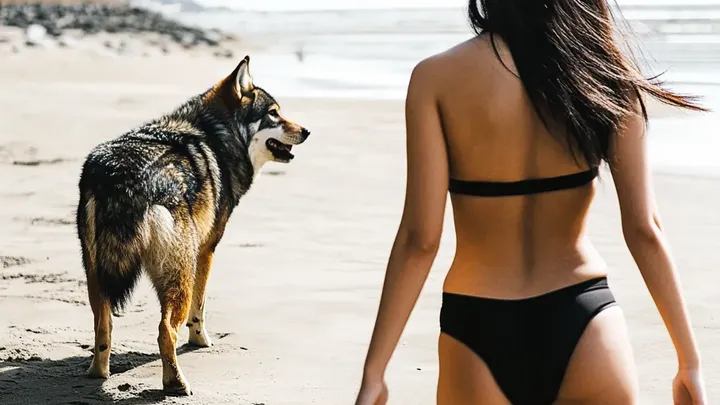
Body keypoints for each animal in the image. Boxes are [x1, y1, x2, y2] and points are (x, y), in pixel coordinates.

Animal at [75, 56, 310, 395]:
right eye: (273, 113)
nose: (306, 131)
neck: (215, 134)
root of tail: (124, 175)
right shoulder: (207, 250)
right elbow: (201, 306)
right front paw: (201, 341)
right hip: (179, 275)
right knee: (165, 330)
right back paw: (176, 383)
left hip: (96, 274)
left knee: (102, 325)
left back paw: (98, 374)